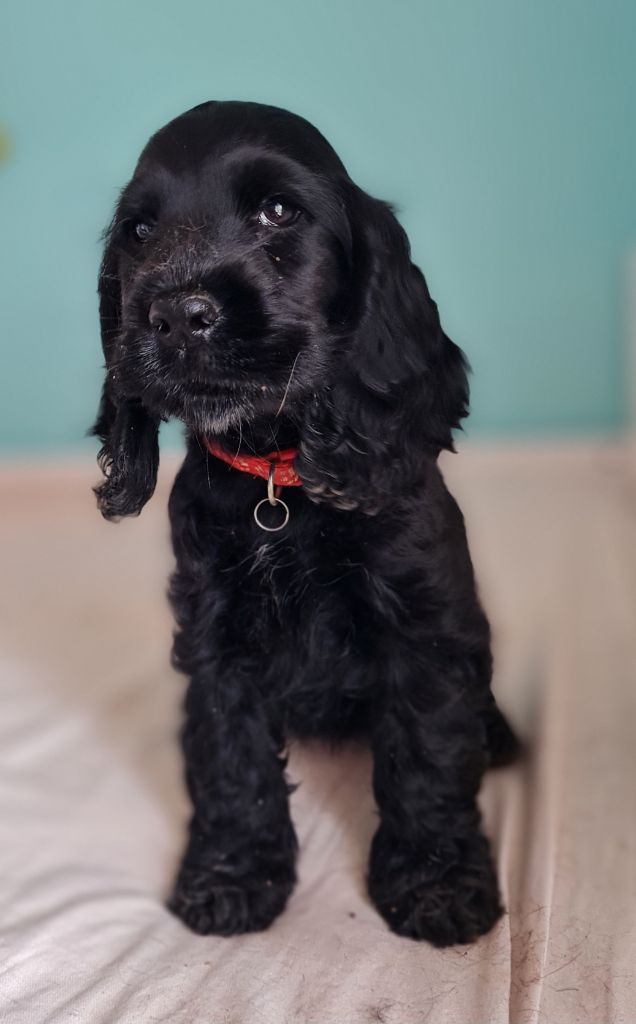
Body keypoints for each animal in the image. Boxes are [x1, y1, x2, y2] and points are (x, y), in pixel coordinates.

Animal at [90, 100, 519, 946]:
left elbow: (427, 754)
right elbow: (232, 756)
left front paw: (437, 886)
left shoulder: (422, 622)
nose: (175, 315)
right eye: (140, 232)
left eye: (279, 212)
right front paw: (232, 878)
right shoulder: (216, 633)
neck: (277, 480)